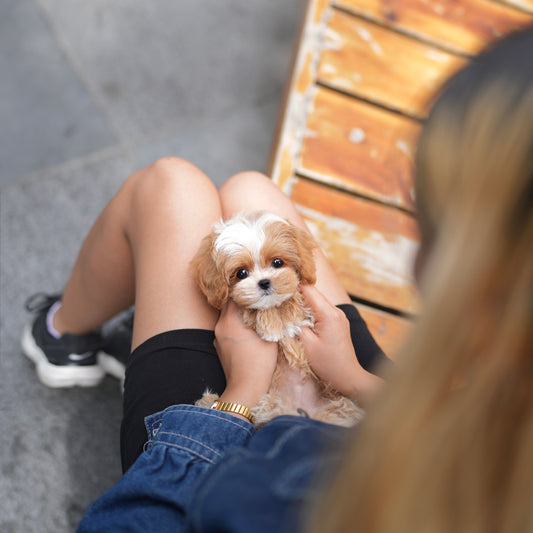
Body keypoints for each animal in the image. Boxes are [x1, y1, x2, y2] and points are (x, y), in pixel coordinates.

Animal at [193, 210, 364, 426]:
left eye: (277, 262)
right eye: (241, 273)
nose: (264, 282)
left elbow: (293, 299)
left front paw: (283, 321)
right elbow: (252, 307)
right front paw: (271, 326)